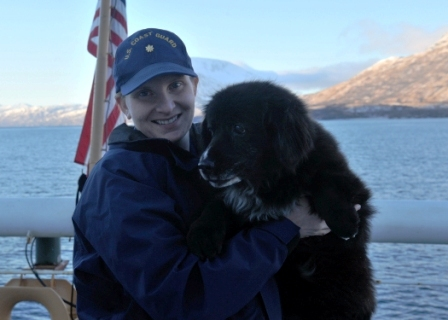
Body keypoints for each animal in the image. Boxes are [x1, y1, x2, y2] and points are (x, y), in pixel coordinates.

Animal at [187, 81, 376, 318]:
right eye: (211, 131)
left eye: (239, 129)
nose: (203, 166)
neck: (268, 181)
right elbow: (217, 205)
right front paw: (203, 233)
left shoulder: (353, 187)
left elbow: (326, 180)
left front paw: (343, 221)